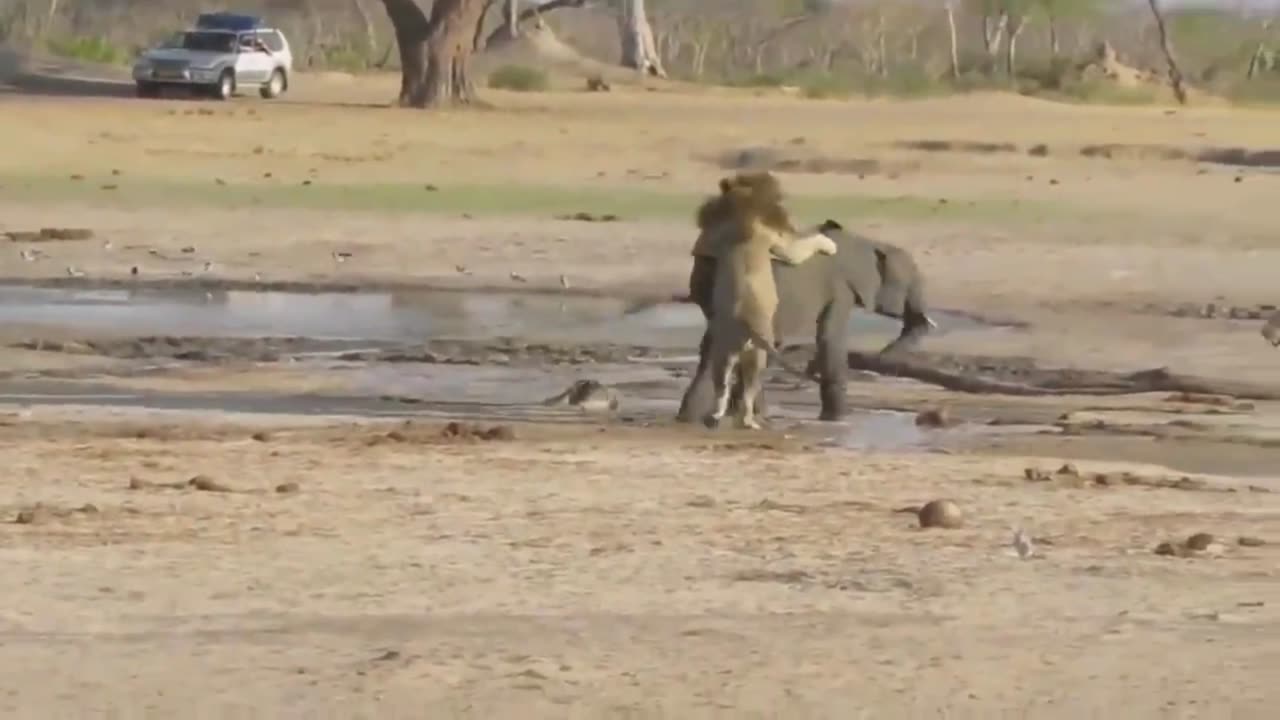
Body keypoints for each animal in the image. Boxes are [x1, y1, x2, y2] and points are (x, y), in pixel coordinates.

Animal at [675, 219, 936, 420]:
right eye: (910, 283)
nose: (881, 356)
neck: (871, 243)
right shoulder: (841, 288)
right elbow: (831, 337)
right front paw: (839, 419)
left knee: (720, 347)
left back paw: (697, 418)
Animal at [696, 170, 834, 427]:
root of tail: (744, 320)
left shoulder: (714, 237)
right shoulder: (780, 243)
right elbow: (802, 246)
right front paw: (830, 245)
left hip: (723, 350)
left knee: (722, 384)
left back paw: (716, 415)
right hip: (757, 354)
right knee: (749, 389)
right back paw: (750, 421)